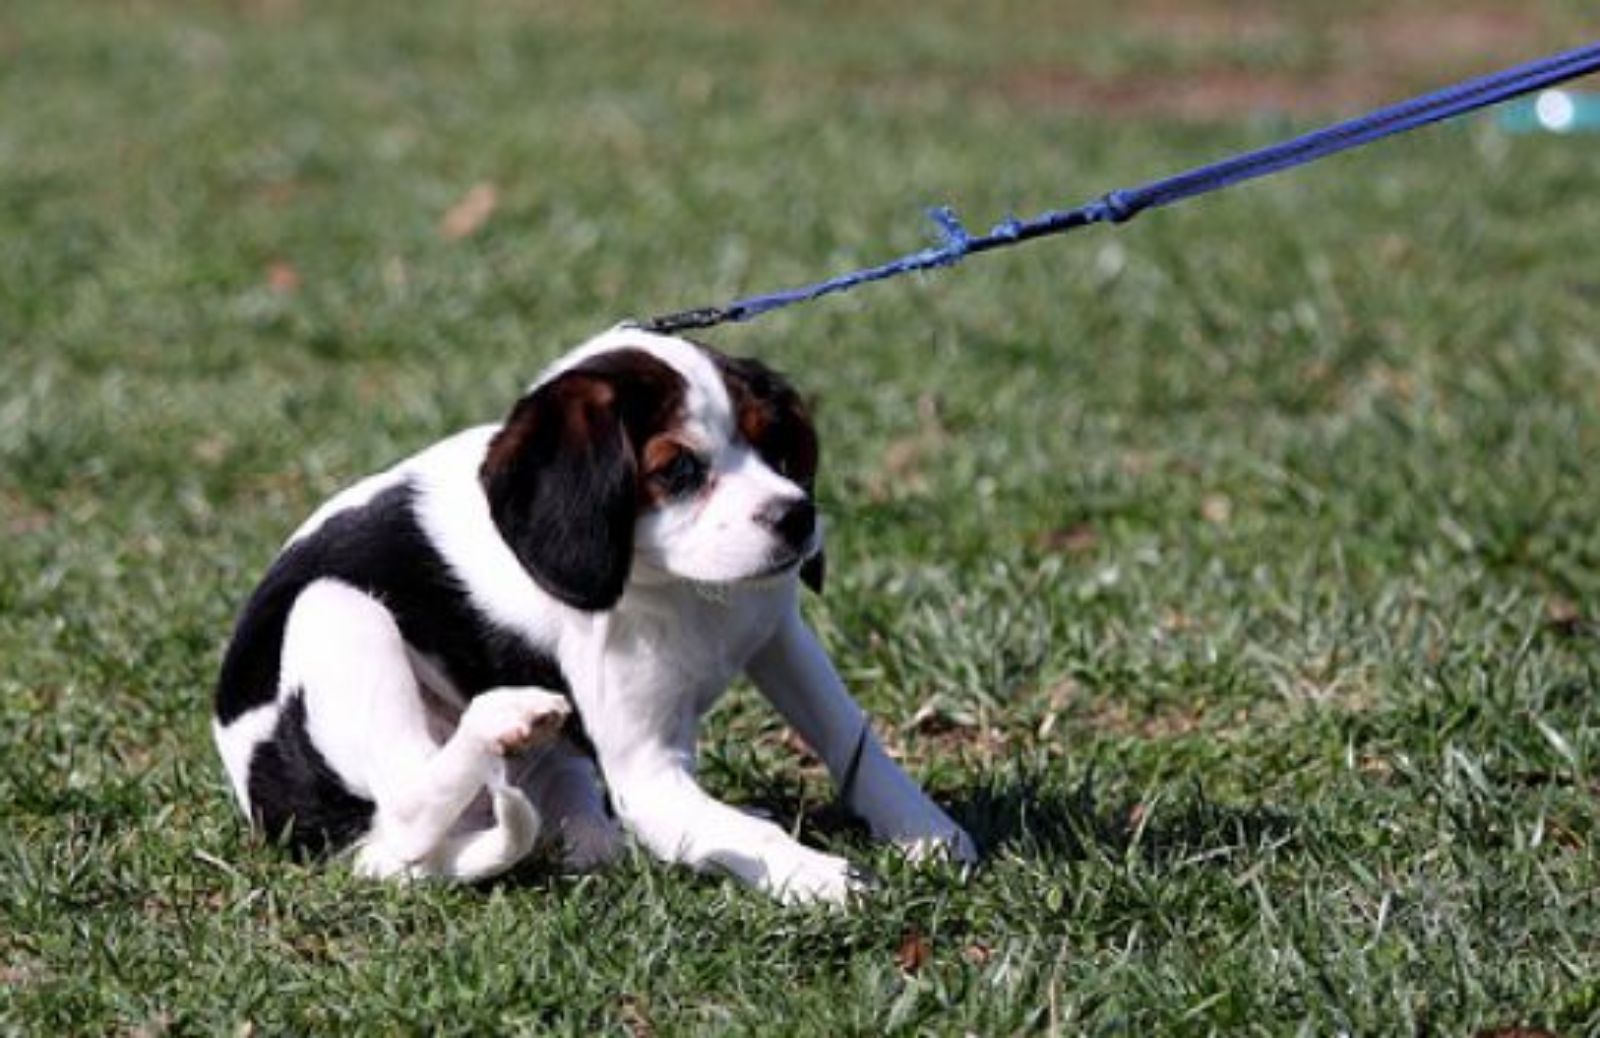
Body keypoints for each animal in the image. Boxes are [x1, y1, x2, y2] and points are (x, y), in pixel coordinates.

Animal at [212, 326, 972, 895]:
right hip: (336, 611)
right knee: (407, 800)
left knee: (581, 835)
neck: (680, 589)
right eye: (678, 471)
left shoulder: (777, 632)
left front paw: (925, 831)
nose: (797, 516)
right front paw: (819, 877)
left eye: (776, 446)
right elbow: (742, 830)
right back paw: (502, 719)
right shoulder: (649, 775)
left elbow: (851, 737)